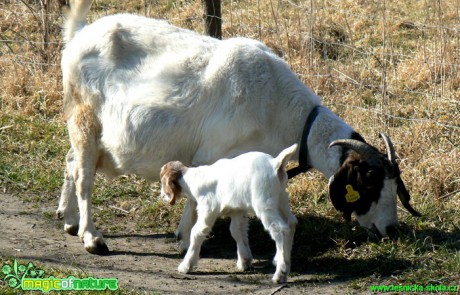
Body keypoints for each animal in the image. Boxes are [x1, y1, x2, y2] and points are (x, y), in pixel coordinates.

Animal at [58, 0, 420, 256]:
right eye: (370, 182)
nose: (391, 229)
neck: (278, 106)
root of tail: (79, 35)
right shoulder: (211, 153)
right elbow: (197, 196)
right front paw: (187, 237)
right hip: (85, 119)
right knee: (85, 178)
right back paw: (92, 237)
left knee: (71, 162)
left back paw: (69, 219)